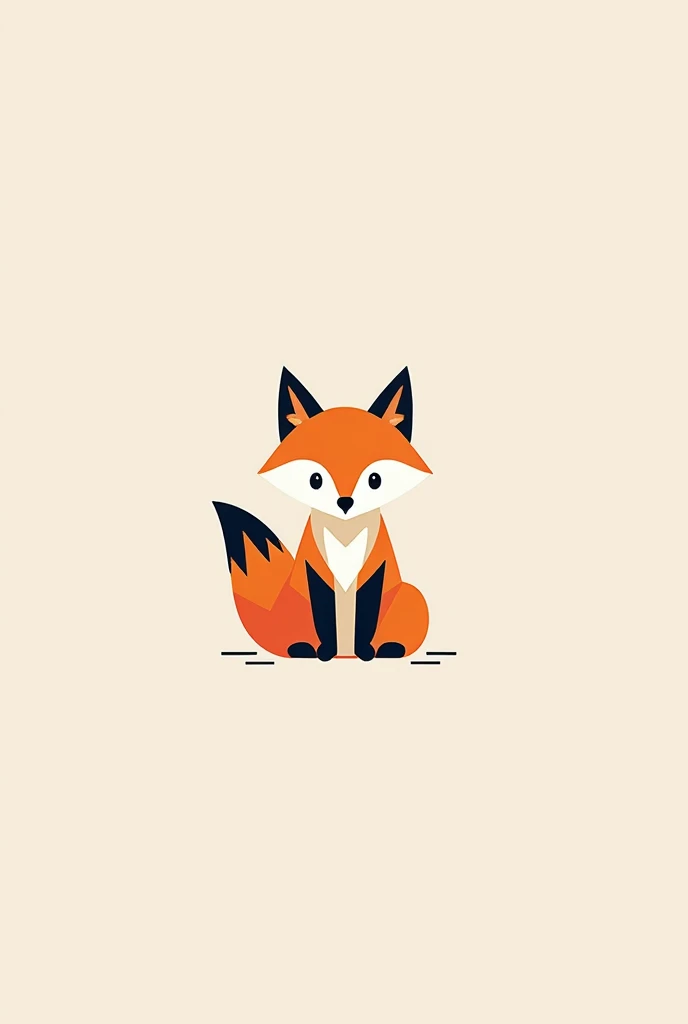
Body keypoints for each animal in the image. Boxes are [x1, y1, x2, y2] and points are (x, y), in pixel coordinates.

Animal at [213, 366, 432, 660]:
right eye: (315, 480)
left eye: (374, 480)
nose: (345, 503)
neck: (345, 533)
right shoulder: (313, 569)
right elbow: (325, 615)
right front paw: (325, 651)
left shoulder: (376, 569)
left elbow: (366, 615)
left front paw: (365, 652)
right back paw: (304, 648)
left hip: (412, 596)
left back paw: (387, 648)